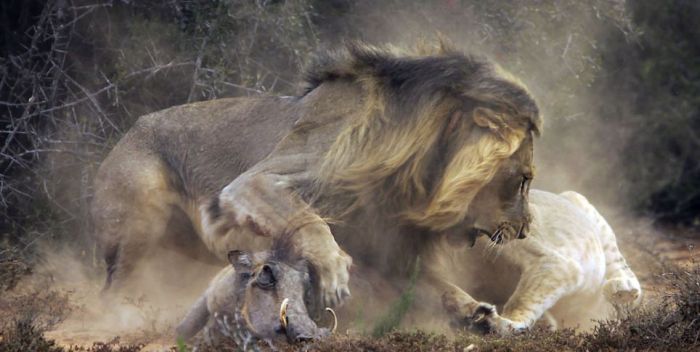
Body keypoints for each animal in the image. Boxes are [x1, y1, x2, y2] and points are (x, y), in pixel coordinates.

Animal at [91, 42, 540, 310]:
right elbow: (310, 221)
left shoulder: (385, 247)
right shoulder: (255, 182)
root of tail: (124, 135)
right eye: (523, 180)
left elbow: (438, 286)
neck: (409, 177)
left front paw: (481, 315)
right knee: (114, 286)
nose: (525, 231)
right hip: (140, 222)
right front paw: (334, 272)